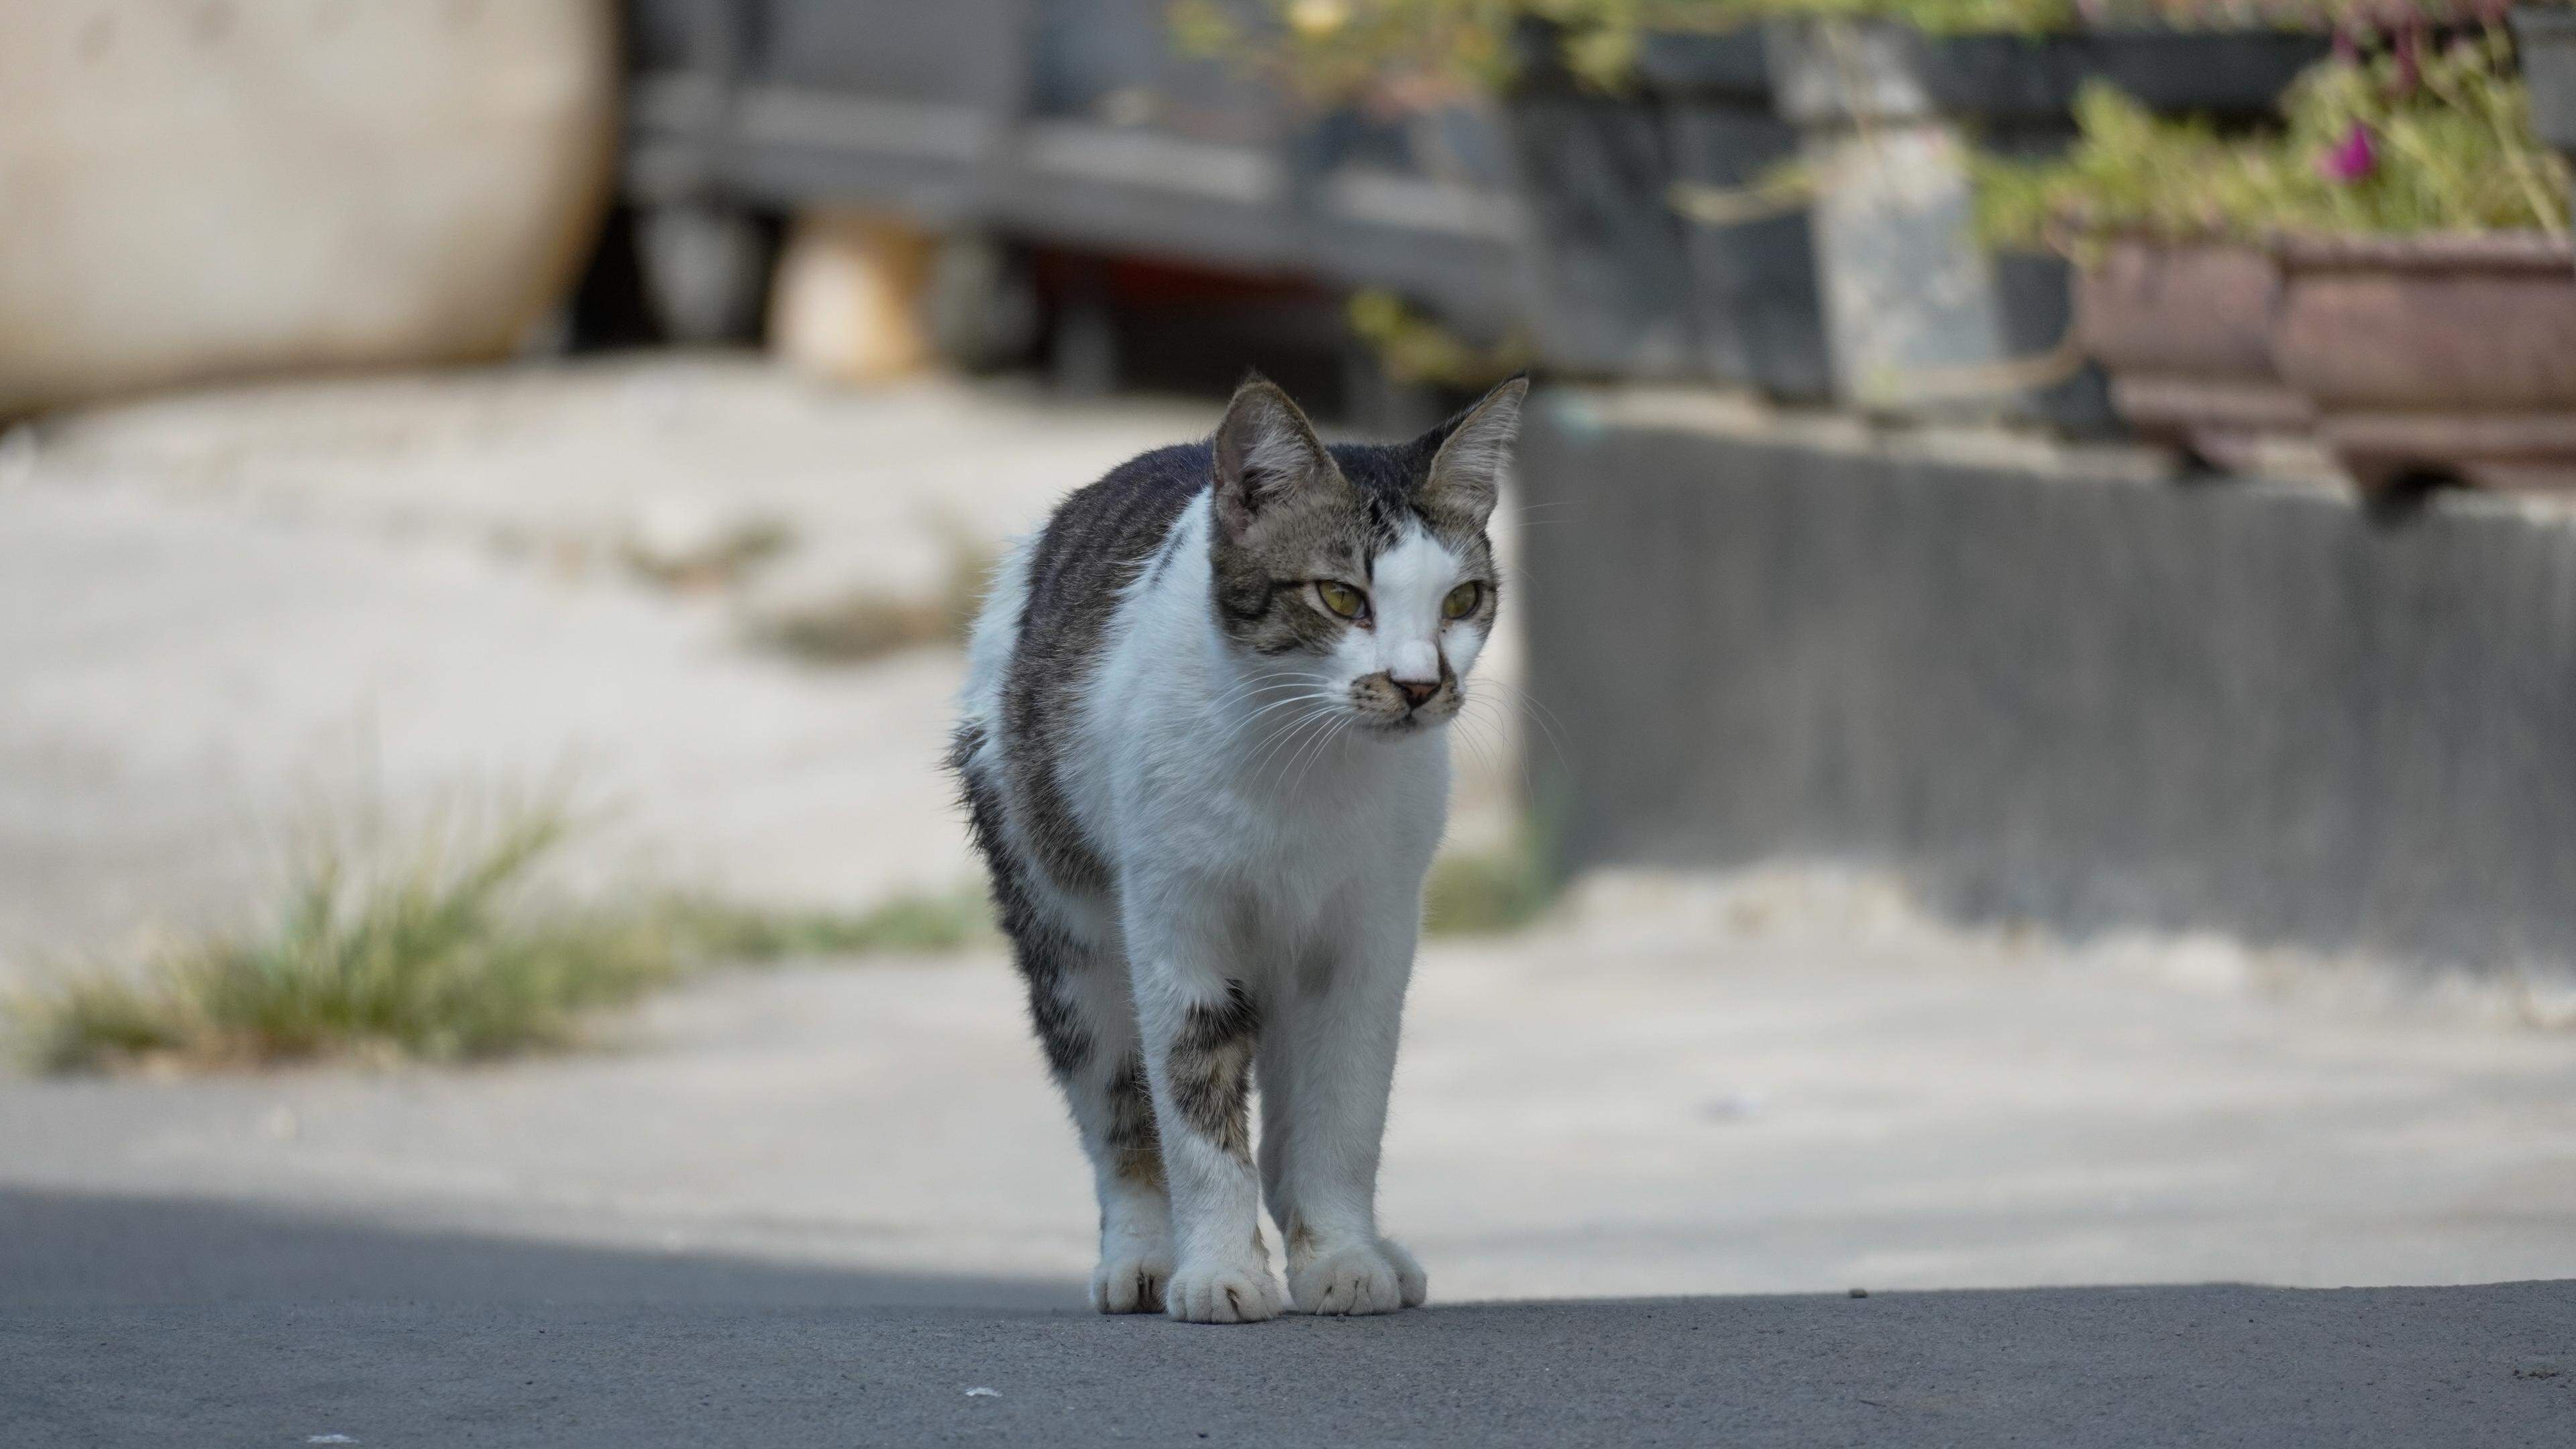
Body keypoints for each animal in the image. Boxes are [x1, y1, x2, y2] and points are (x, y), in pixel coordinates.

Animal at [958, 368, 1525, 1320]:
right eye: (1341, 597)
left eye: (1461, 601)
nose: (1418, 685)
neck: (1306, 761)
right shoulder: (1176, 927)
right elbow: (1193, 1109)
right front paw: (1221, 1268)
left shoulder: (1369, 937)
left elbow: (1344, 1115)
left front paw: (1342, 1255)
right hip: (1064, 928)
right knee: (1117, 1108)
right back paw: (1143, 1256)